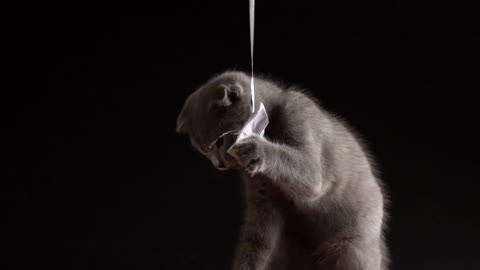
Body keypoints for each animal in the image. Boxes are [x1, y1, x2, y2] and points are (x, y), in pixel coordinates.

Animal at [176, 70, 390, 268]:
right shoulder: (261, 196)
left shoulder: (298, 115)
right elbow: (257, 240)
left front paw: (257, 148)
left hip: (354, 245)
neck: (272, 122)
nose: (219, 164)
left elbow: (308, 174)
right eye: (204, 152)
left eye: (219, 143)